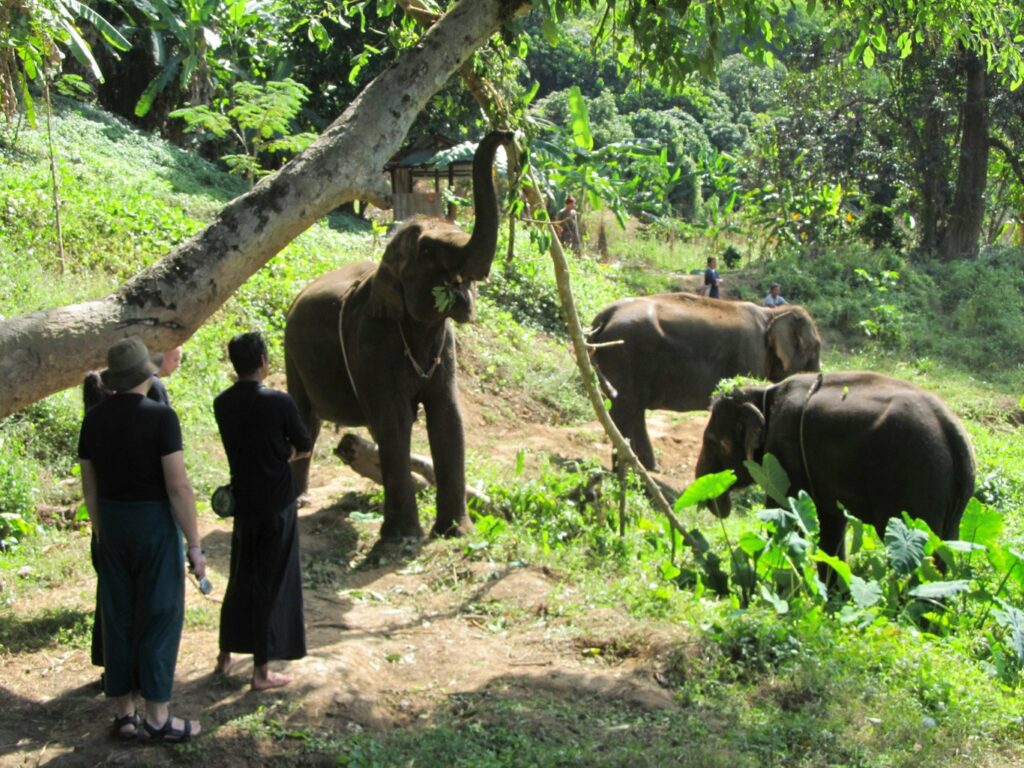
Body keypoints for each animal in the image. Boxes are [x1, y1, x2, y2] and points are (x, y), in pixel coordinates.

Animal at [284, 130, 515, 541]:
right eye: (426, 250)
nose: (507, 133)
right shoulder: (371, 345)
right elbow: (394, 420)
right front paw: (402, 538)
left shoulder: (445, 348)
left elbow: (448, 419)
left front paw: (456, 532)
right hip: (290, 352)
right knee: (306, 418)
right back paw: (301, 500)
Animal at [587, 292, 822, 471]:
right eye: (817, 348)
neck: (771, 313)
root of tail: (603, 316)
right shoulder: (751, 357)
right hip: (624, 353)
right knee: (626, 411)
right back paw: (627, 471)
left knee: (631, 410)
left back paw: (648, 469)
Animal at [694, 371, 976, 561]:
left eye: (712, 442)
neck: (763, 394)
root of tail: (953, 434)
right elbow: (830, 526)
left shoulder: (784, 459)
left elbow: (785, 517)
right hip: (951, 505)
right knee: (946, 551)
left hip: (915, 491)